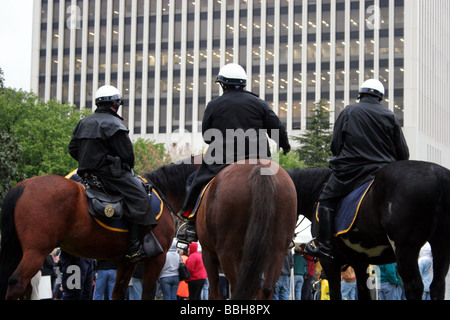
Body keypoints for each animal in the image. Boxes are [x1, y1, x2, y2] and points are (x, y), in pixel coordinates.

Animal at [0, 162, 197, 300]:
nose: (188, 234)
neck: (164, 192)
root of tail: (22, 186)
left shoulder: (127, 261)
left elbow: (118, 292)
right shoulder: (157, 259)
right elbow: (147, 294)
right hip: (36, 252)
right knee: (17, 283)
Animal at [194, 160, 298, 300]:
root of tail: (260, 167)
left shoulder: (207, 253)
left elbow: (215, 293)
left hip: (226, 250)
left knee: (237, 288)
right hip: (277, 250)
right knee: (265, 289)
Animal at [288, 160, 450, 300]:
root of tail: (437, 173)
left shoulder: (329, 262)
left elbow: (335, 294)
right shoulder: (360, 262)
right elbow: (364, 294)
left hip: (405, 249)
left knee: (414, 287)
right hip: (441, 246)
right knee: (437, 286)